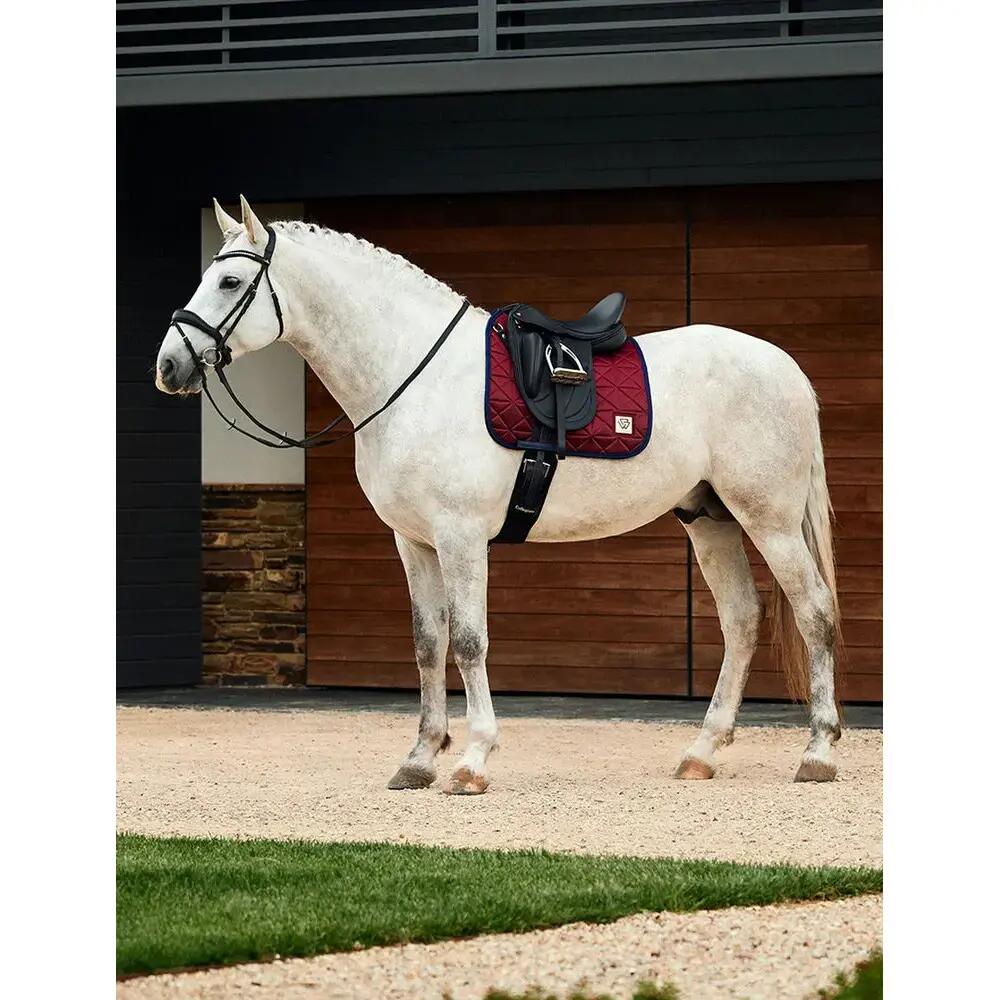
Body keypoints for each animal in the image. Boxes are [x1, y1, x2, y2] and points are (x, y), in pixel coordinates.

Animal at [154, 196, 842, 795]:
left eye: (229, 282)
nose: (168, 366)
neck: (414, 375)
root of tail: (787, 368)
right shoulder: (413, 541)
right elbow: (428, 642)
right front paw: (419, 760)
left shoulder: (460, 537)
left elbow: (468, 640)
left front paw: (472, 762)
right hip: (709, 518)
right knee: (742, 620)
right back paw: (701, 752)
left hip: (771, 521)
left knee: (815, 612)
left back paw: (818, 752)